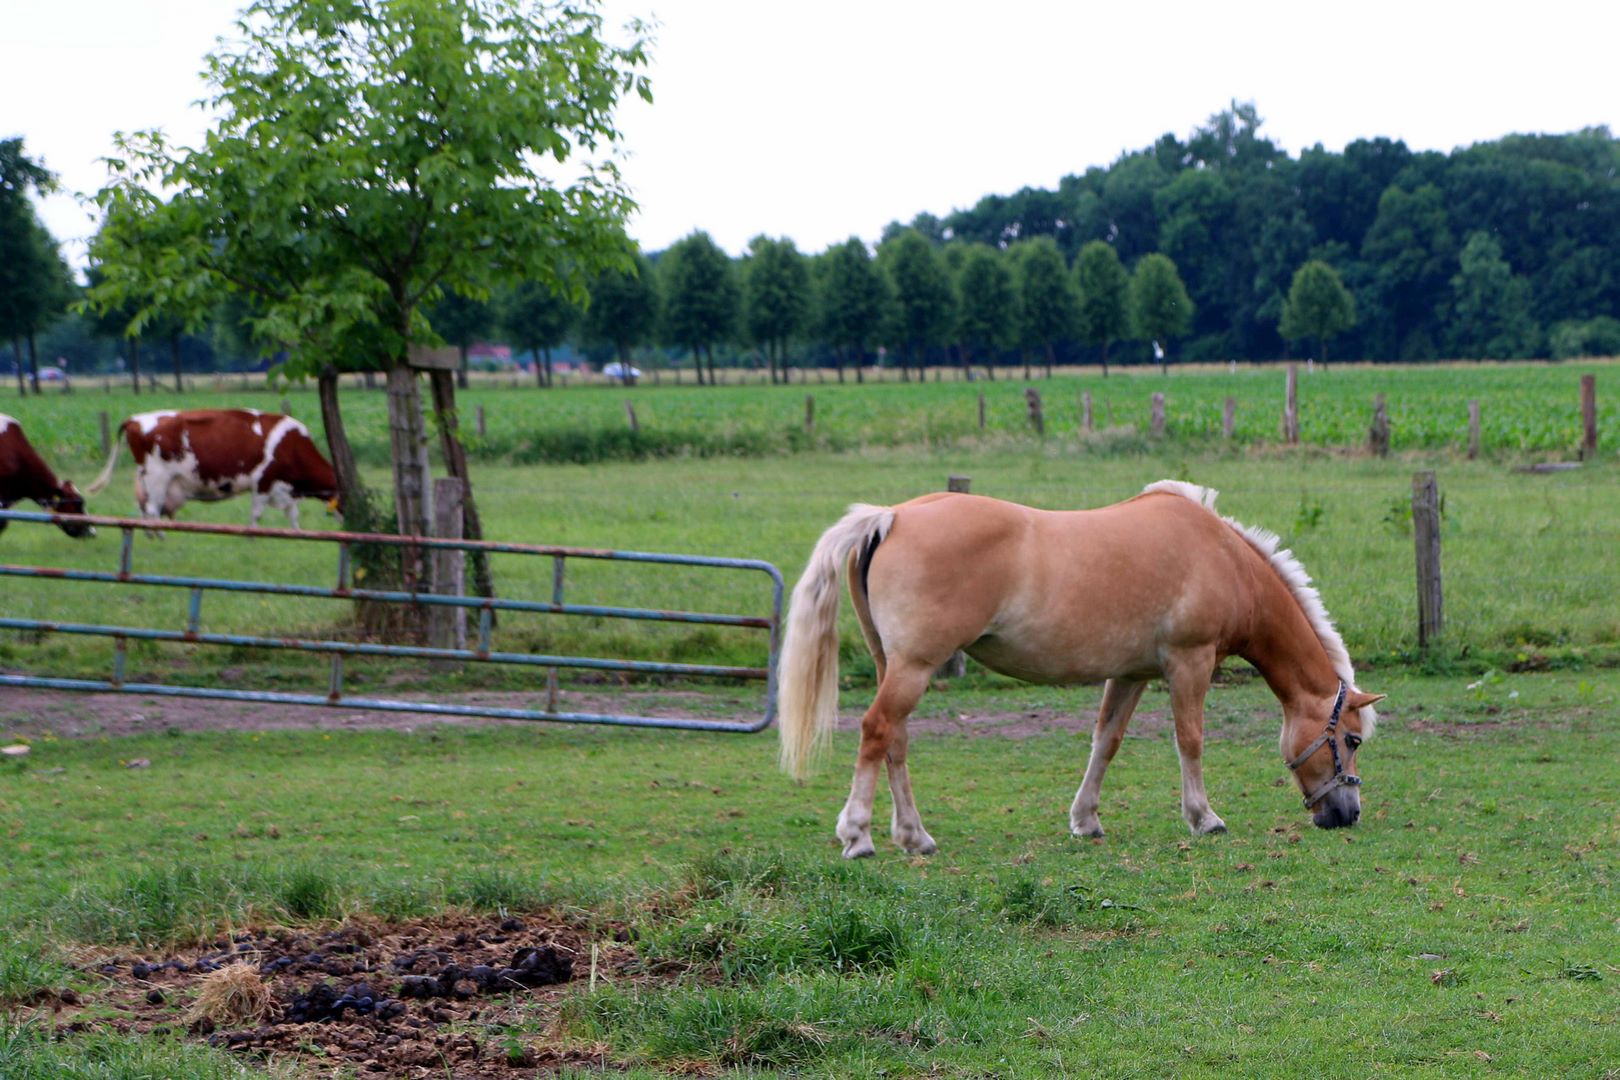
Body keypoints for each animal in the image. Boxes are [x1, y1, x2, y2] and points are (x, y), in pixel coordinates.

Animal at [85, 409, 338, 527]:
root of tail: (134, 419)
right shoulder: (263, 481)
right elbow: (256, 514)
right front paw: (252, 538)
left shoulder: (284, 489)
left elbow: (292, 516)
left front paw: (296, 534)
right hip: (158, 478)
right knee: (152, 510)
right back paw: (160, 537)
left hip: (146, 478)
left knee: (143, 510)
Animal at [777, 482, 1386, 861]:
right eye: (1351, 740)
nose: (1349, 812)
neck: (1223, 557)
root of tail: (892, 516)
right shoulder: (1189, 661)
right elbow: (1190, 739)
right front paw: (1204, 817)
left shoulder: (1133, 672)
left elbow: (1106, 741)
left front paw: (1086, 820)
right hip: (914, 667)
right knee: (877, 731)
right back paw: (858, 836)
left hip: (897, 666)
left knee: (896, 742)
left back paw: (914, 836)